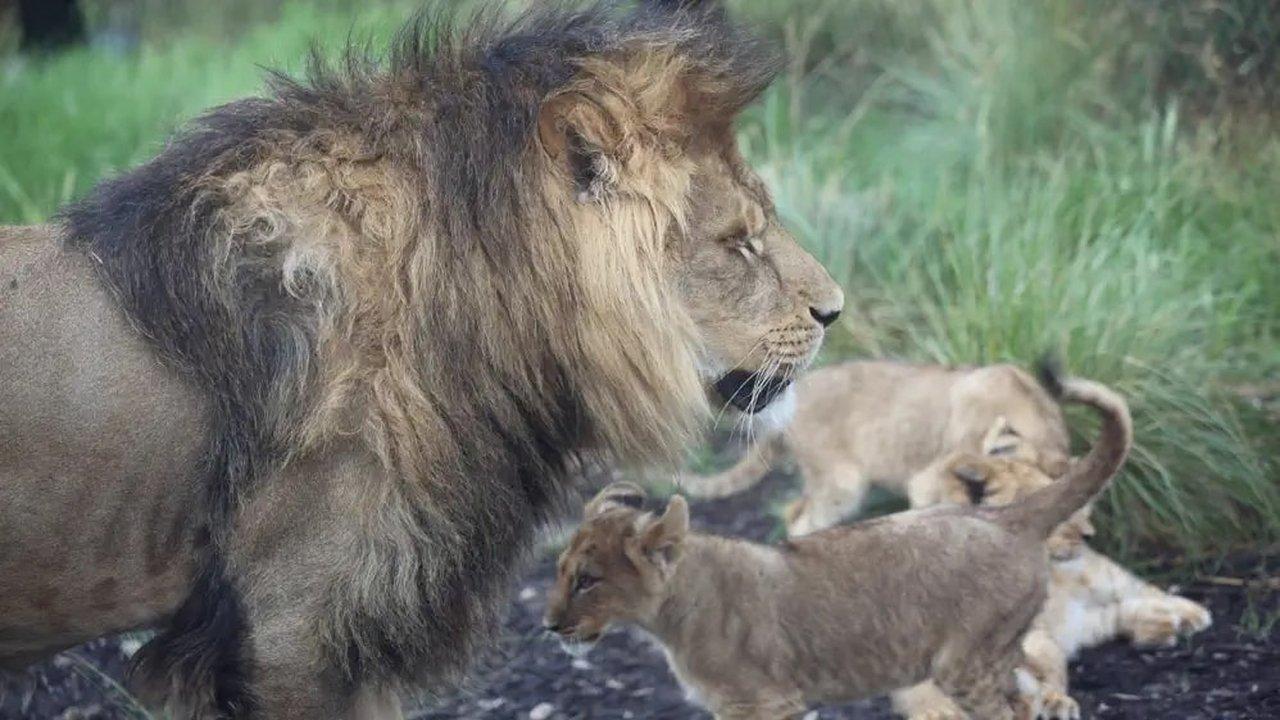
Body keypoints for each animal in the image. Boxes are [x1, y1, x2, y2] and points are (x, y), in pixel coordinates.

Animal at [543, 378, 1131, 720]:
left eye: (588, 580)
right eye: (560, 572)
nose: (548, 627)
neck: (670, 614)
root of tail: (1006, 517)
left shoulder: (764, 703)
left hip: (965, 662)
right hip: (994, 654)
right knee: (1026, 696)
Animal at [892, 420, 1211, 720]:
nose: (1088, 535)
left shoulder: (1032, 637)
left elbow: (1045, 669)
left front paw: (1052, 700)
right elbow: (918, 687)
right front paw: (937, 711)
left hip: (1102, 578)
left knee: (1138, 588)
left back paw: (1188, 615)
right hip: (1093, 620)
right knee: (1116, 615)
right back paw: (1159, 625)